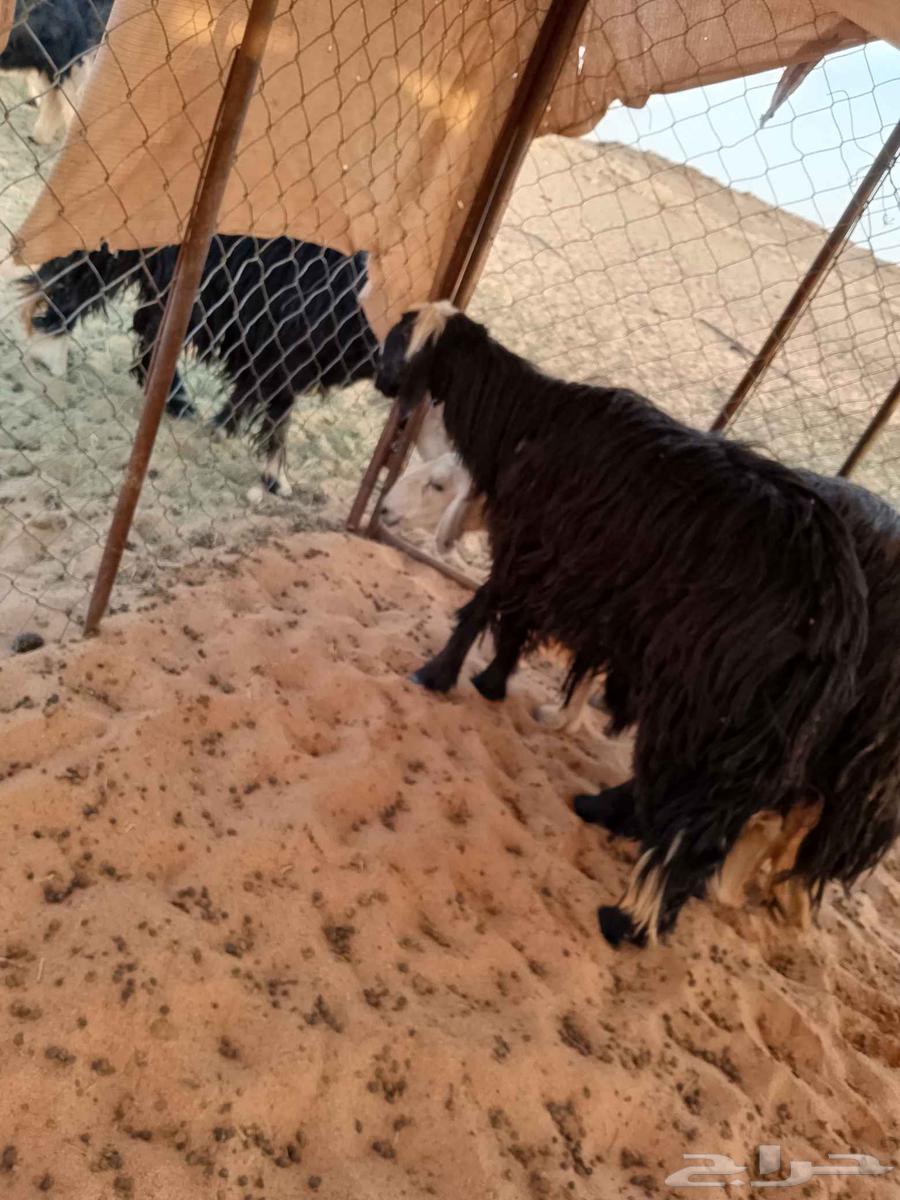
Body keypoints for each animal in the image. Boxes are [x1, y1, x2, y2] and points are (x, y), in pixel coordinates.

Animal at [19, 235, 380, 499]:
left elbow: (255, 392)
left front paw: (228, 430)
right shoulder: (287, 343)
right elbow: (276, 411)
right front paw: (274, 474)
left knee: (148, 327)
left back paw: (174, 400)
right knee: (85, 273)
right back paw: (50, 346)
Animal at [375, 301, 900, 949]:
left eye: (400, 342)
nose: (382, 381)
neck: (530, 420)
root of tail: (834, 619)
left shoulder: (537, 547)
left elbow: (486, 607)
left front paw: (438, 675)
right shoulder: (576, 578)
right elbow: (525, 626)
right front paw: (503, 688)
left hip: (710, 701)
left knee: (698, 816)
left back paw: (628, 914)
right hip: (768, 731)